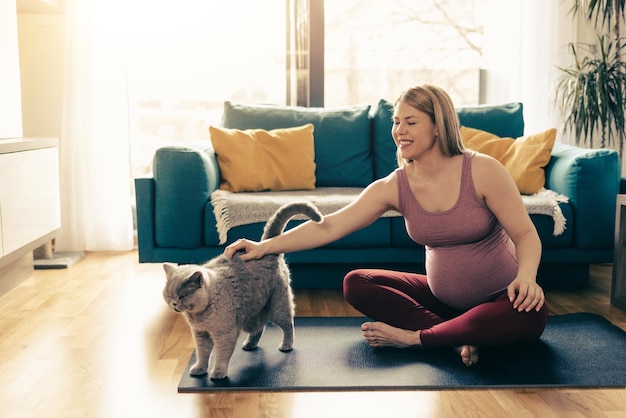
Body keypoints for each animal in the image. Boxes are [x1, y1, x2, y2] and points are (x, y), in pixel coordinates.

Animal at [161, 201, 322, 380]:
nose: (174, 304)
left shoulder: (225, 334)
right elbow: (202, 353)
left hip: (278, 306)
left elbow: (221, 354)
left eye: (182, 296)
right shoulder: (200, 333)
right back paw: (249, 344)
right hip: (252, 313)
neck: (199, 316)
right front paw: (199, 369)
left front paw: (218, 373)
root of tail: (265, 245)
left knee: (288, 325)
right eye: (169, 295)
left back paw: (286, 345)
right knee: (259, 327)